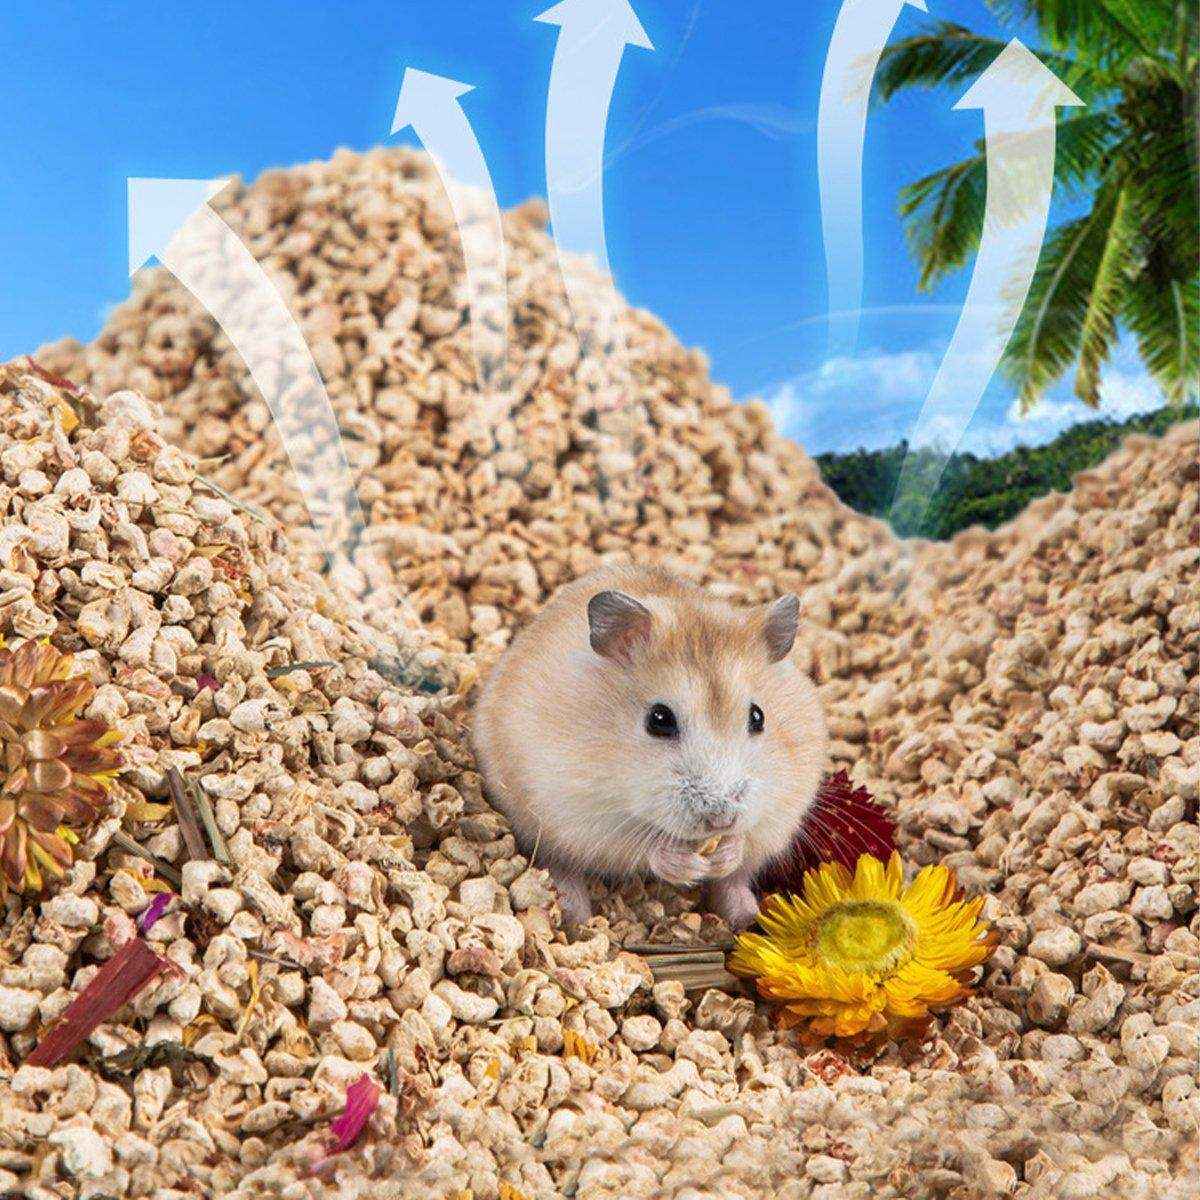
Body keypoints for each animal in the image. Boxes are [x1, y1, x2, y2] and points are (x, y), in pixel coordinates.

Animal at [472, 563, 828, 929]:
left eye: (758, 717)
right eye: (659, 719)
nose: (721, 820)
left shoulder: (783, 807)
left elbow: (746, 842)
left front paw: (725, 853)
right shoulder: (581, 811)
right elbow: (643, 848)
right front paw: (688, 864)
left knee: (734, 882)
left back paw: (746, 914)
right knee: (559, 864)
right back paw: (576, 915)